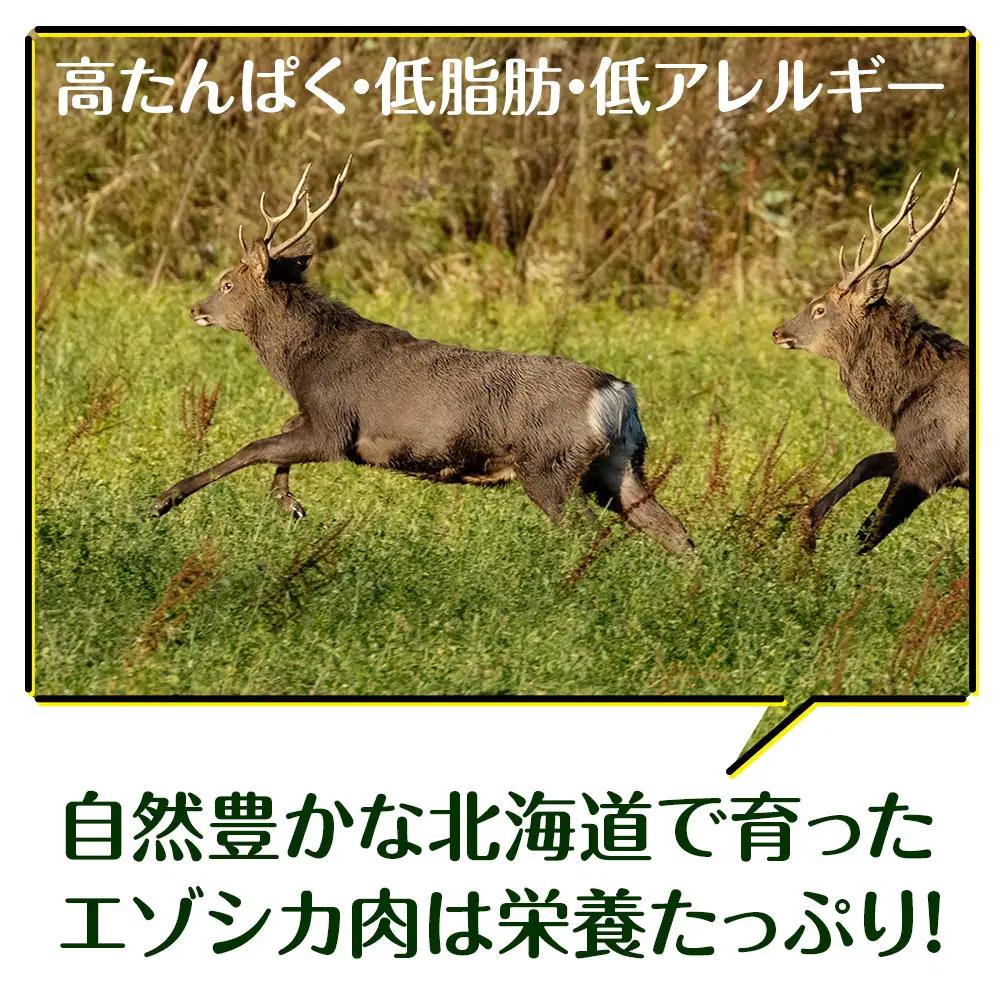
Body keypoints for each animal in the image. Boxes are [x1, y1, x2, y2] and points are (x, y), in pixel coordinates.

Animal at [153, 157, 695, 557]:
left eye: (227, 282)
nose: (196, 308)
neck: (304, 364)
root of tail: (618, 393)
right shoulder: (320, 420)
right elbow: (277, 436)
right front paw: (289, 504)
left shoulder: (335, 425)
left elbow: (255, 447)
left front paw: (165, 499)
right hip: (619, 463)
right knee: (675, 532)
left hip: (549, 465)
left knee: (594, 534)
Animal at [772, 170, 968, 553]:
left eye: (819, 308)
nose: (777, 332)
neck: (900, 403)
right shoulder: (916, 453)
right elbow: (868, 462)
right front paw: (809, 523)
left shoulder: (931, 462)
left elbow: (868, 531)